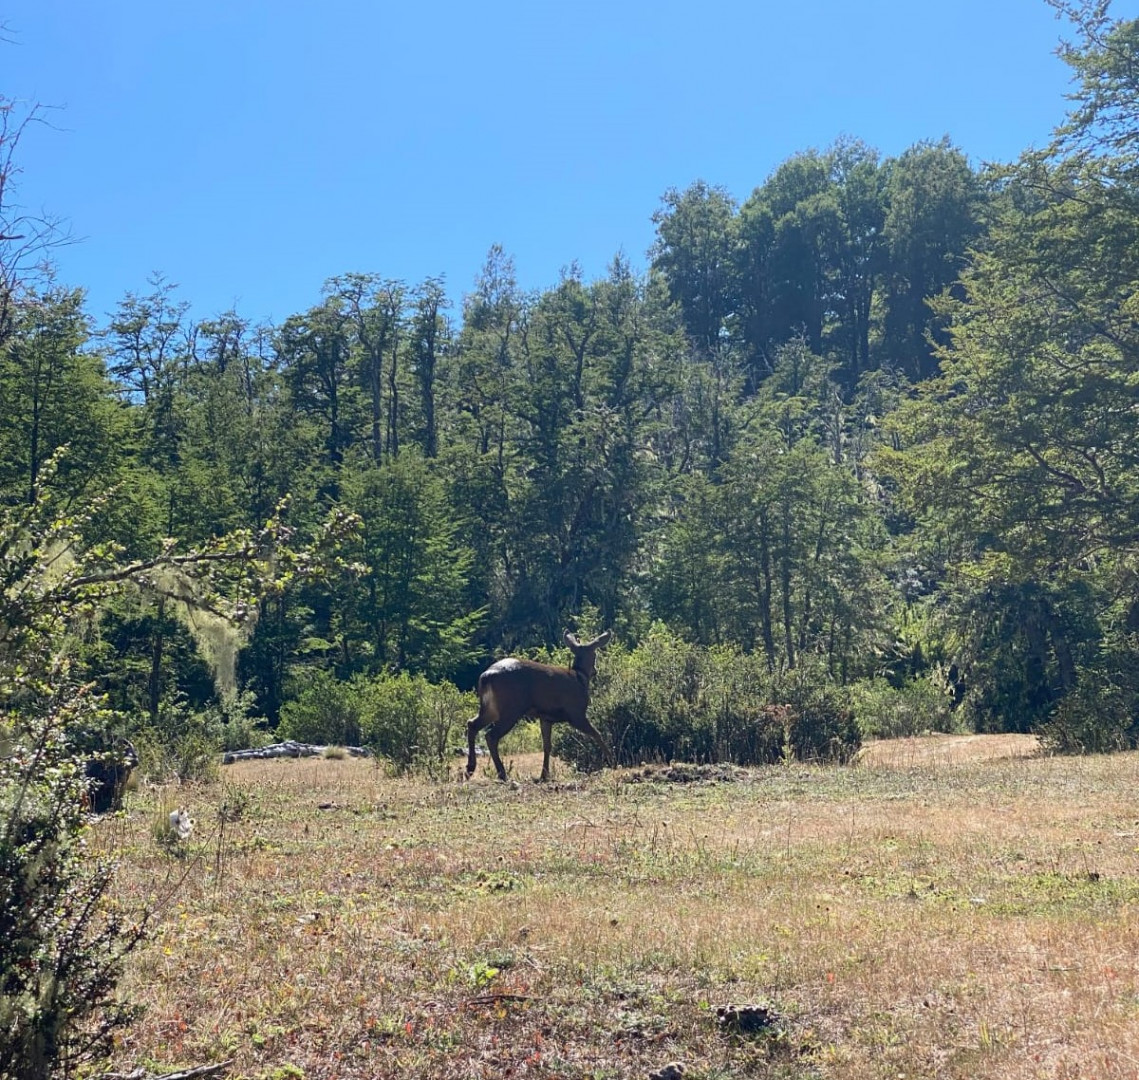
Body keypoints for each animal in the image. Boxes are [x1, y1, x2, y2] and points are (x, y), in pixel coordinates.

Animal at [464, 628, 615, 779]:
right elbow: (596, 733)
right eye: (595, 654)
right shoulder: (576, 712)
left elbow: (547, 745)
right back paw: (502, 773)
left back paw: (470, 768)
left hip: (491, 708)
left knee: (472, 724)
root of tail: (486, 676)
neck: (580, 678)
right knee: (491, 735)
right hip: (511, 708)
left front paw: (544, 774)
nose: (595, 670)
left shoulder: (546, 718)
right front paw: (611, 761)